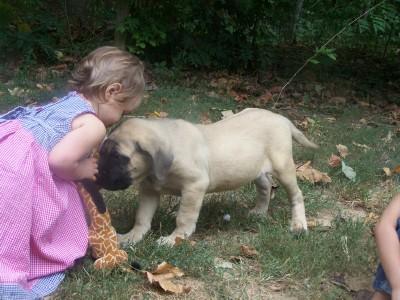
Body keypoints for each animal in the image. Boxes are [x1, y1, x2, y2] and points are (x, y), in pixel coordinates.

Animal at [95, 109, 318, 245]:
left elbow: (184, 217)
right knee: (265, 186)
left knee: (296, 195)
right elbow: (142, 216)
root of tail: (282, 119)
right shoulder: (149, 190)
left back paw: (299, 224)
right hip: (255, 168)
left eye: (118, 157)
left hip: (283, 167)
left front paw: (175, 238)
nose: (98, 176)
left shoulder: (194, 186)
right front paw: (133, 236)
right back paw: (259, 212)